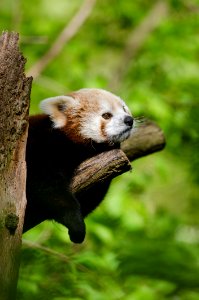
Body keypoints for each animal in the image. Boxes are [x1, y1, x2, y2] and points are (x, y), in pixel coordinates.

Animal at [24, 88, 134, 244]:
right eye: (106, 115)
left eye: (124, 109)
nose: (129, 120)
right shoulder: (40, 148)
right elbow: (46, 187)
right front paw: (76, 224)